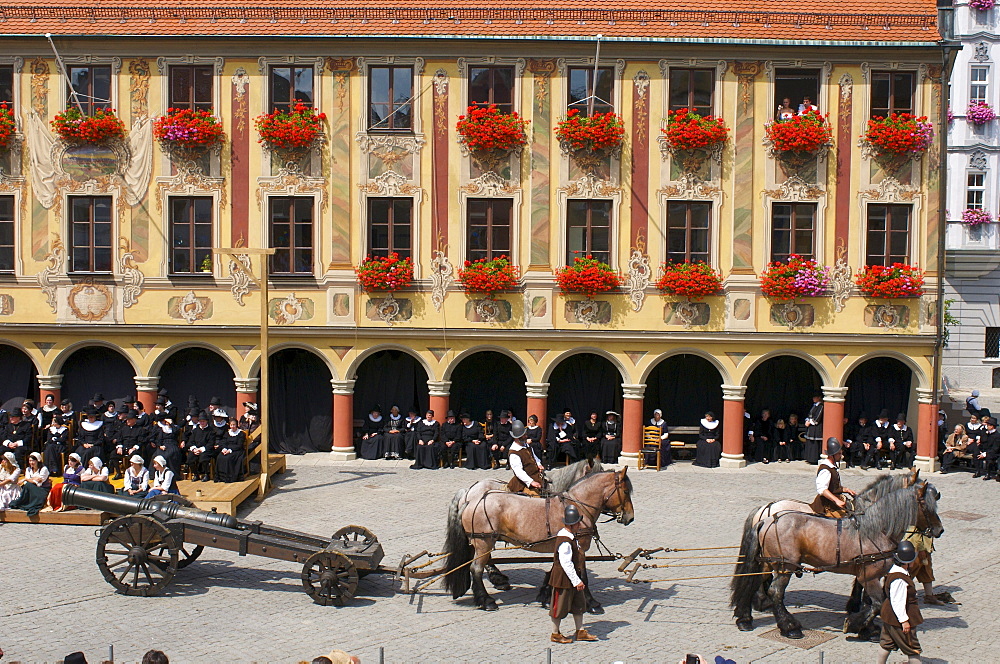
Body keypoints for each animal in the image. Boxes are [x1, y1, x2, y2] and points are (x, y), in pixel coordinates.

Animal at [732, 482, 940, 640]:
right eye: (926, 505)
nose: (940, 530)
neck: (877, 529)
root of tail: (767, 518)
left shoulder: (870, 576)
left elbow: (872, 602)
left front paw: (868, 628)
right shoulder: (868, 576)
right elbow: (877, 603)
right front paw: (856, 624)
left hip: (768, 563)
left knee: (752, 583)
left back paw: (744, 618)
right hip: (785, 566)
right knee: (775, 592)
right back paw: (789, 627)